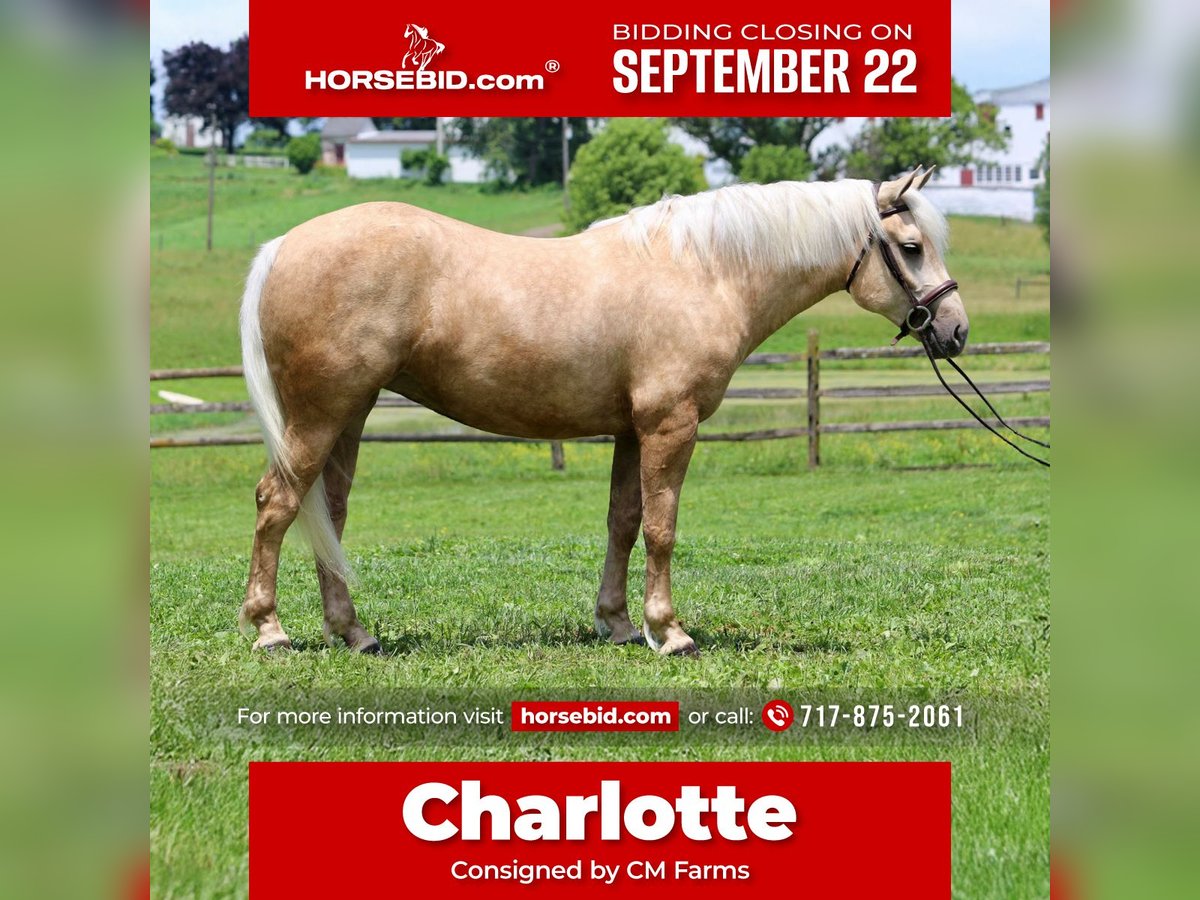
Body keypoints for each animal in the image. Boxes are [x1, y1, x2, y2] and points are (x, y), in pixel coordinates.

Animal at [237, 167, 967, 656]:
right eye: (910, 247)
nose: (955, 330)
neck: (702, 271)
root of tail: (282, 245)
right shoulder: (671, 425)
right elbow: (662, 529)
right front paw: (669, 631)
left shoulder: (631, 431)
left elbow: (623, 523)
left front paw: (617, 623)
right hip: (319, 417)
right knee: (278, 503)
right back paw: (270, 629)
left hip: (349, 416)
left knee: (329, 514)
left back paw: (353, 632)